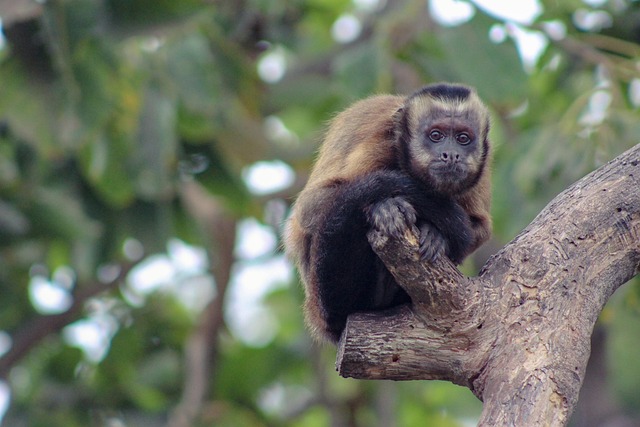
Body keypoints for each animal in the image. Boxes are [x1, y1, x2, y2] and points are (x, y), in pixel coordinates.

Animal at [284, 83, 492, 343]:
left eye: (463, 138)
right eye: (436, 135)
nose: (451, 154)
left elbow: (480, 229)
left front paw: (436, 235)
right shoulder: (381, 143)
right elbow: (309, 208)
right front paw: (382, 208)